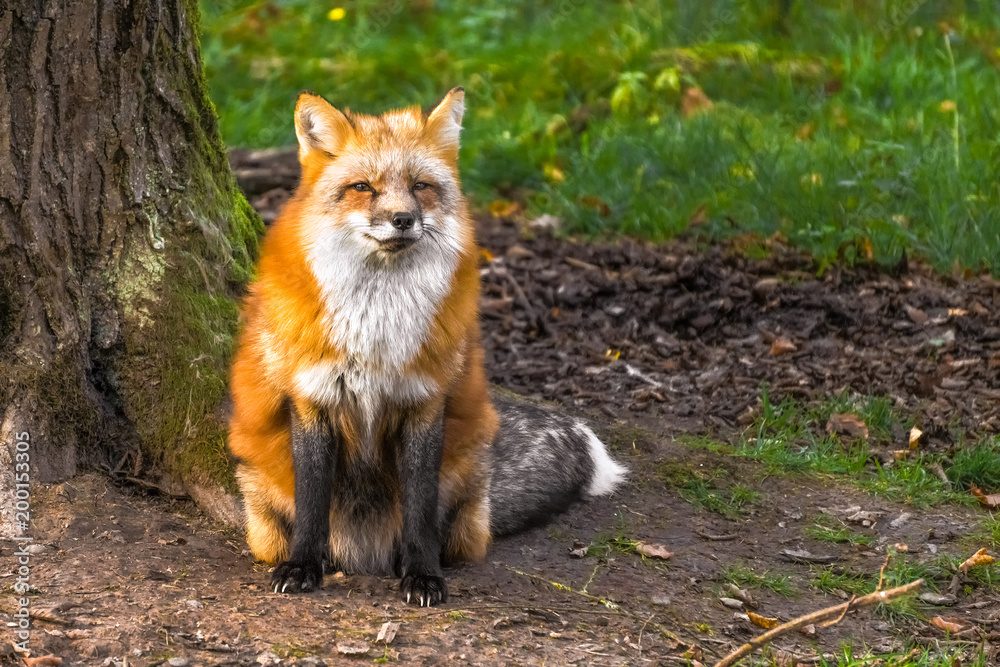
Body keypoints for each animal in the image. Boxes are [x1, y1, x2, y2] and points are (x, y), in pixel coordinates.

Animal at [227, 87, 626, 606]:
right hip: (259, 499)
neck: (376, 333)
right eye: (363, 187)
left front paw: (422, 575)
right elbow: (312, 503)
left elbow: (419, 507)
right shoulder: (313, 399)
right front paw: (302, 567)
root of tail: (364, 552)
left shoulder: (424, 400)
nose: (402, 219)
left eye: (420, 186)